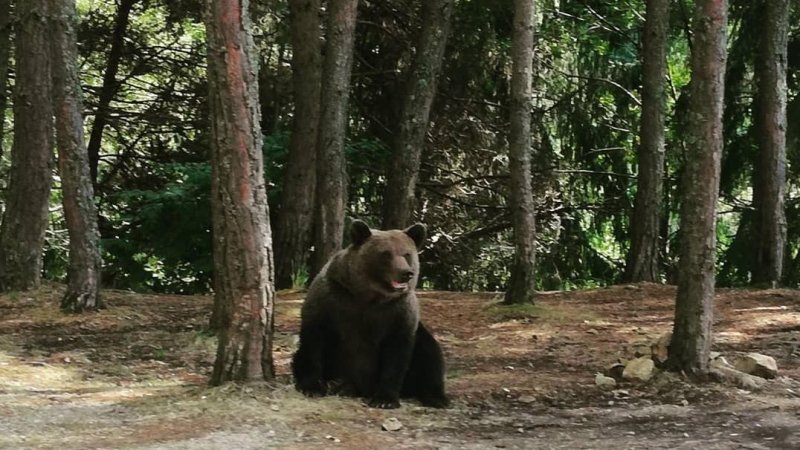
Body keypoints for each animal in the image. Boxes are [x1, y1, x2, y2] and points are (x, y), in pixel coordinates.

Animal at [292, 220, 449, 409]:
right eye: (386, 254)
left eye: (407, 254)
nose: (406, 273)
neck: (370, 297)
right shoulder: (331, 298)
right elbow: (314, 339)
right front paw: (312, 387)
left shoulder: (398, 313)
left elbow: (397, 354)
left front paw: (385, 399)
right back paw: (339, 384)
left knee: (430, 355)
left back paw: (436, 397)